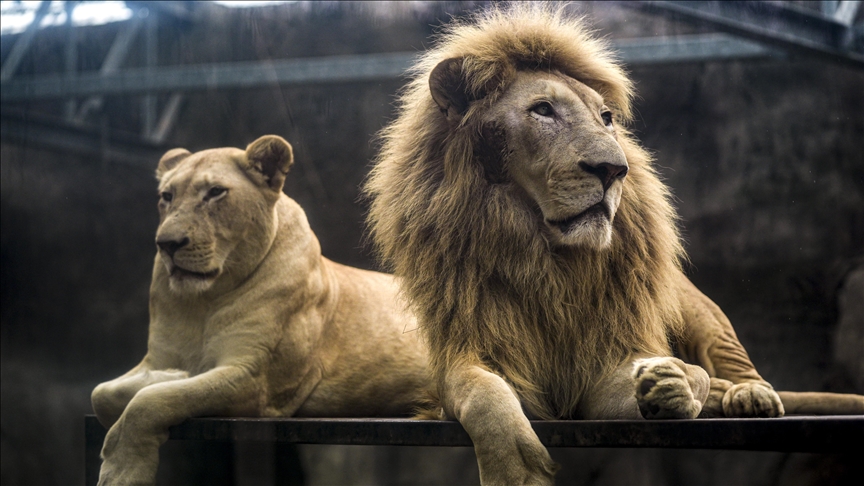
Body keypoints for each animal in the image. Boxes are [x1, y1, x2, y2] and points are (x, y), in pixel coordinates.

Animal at [91, 135, 431, 486]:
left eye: (215, 192)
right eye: (166, 196)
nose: (167, 244)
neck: (204, 301)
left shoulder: (257, 381)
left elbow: (154, 401)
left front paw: (123, 471)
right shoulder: (157, 356)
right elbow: (100, 392)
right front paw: (171, 375)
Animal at [364, 5, 864, 485]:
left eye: (605, 118)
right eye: (542, 110)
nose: (613, 170)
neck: (548, 260)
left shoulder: (602, 363)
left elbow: (693, 375)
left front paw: (673, 385)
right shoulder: (472, 351)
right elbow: (485, 395)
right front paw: (518, 473)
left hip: (699, 308)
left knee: (733, 363)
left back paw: (748, 394)